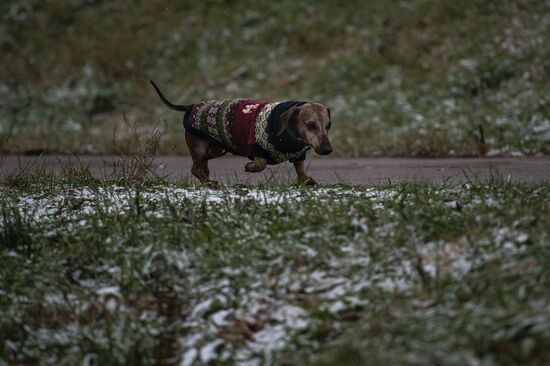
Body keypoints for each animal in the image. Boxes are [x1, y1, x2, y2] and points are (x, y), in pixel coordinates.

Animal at [150, 79, 332, 183]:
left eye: (328, 125)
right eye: (311, 125)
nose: (328, 150)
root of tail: (190, 106)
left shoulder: (298, 155)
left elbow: (300, 171)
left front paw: (307, 180)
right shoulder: (256, 147)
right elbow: (262, 163)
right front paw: (251, 167)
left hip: (214, 149)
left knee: (200, 169)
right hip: (200, 148)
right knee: (196, 169)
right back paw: (210, 184)